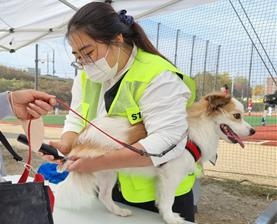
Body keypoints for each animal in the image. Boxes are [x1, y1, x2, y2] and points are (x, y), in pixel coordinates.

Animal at [55, 91, 254, 224]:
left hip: (107, 172)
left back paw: (118, 211)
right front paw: (170, 218)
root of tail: (82, 139)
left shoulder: (163, 178)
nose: (253, 131)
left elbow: (162, 198)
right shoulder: (171, 175)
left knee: (104, 196)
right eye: (237, 116)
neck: (196, 132)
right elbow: (169, 200)